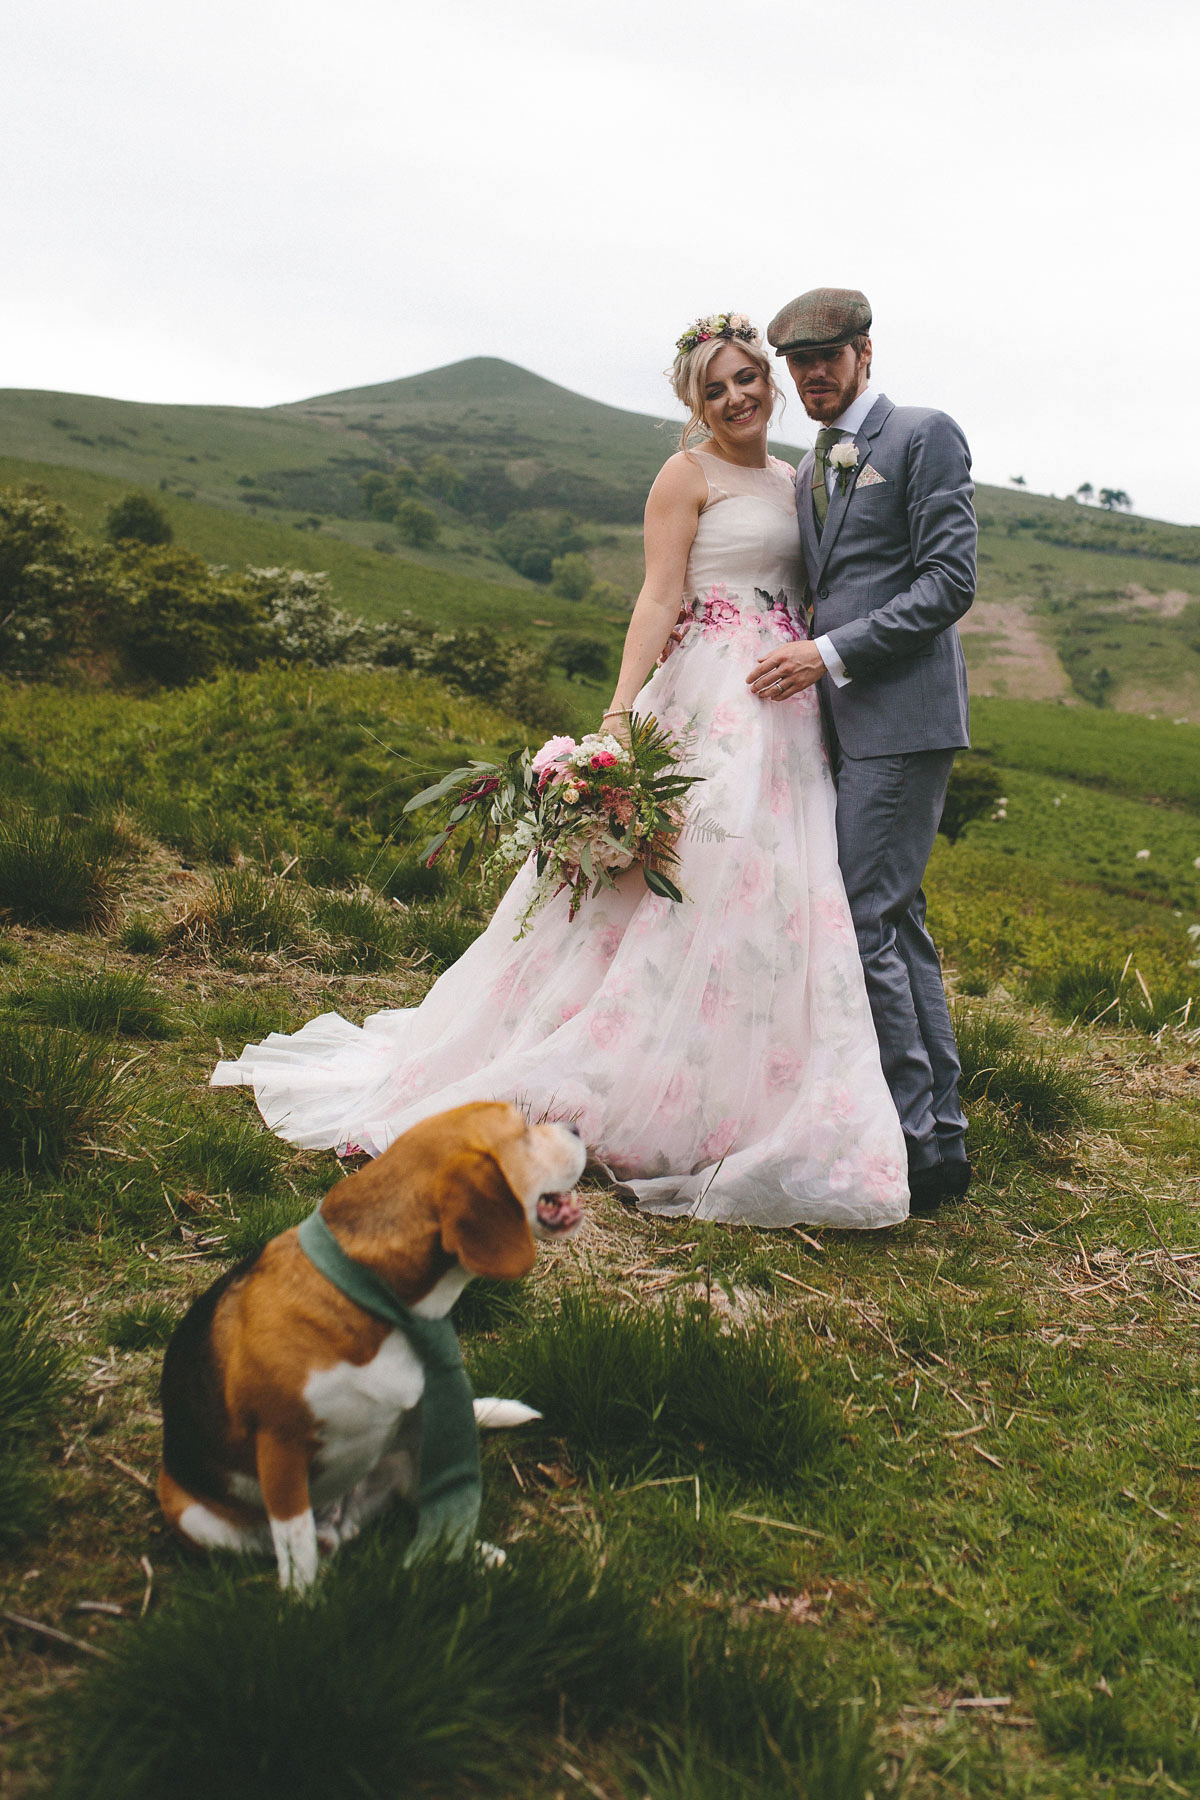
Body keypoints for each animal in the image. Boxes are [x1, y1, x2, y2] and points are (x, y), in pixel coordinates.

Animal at [154, 1094, 586, 1591]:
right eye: (523, 1133)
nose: (577, 1130)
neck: (379, 1298)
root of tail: (342, 1523)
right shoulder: (280, 1448)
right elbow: (296, 1548)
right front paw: (301, 1601)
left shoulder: (419, 1420)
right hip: (193, 1516)